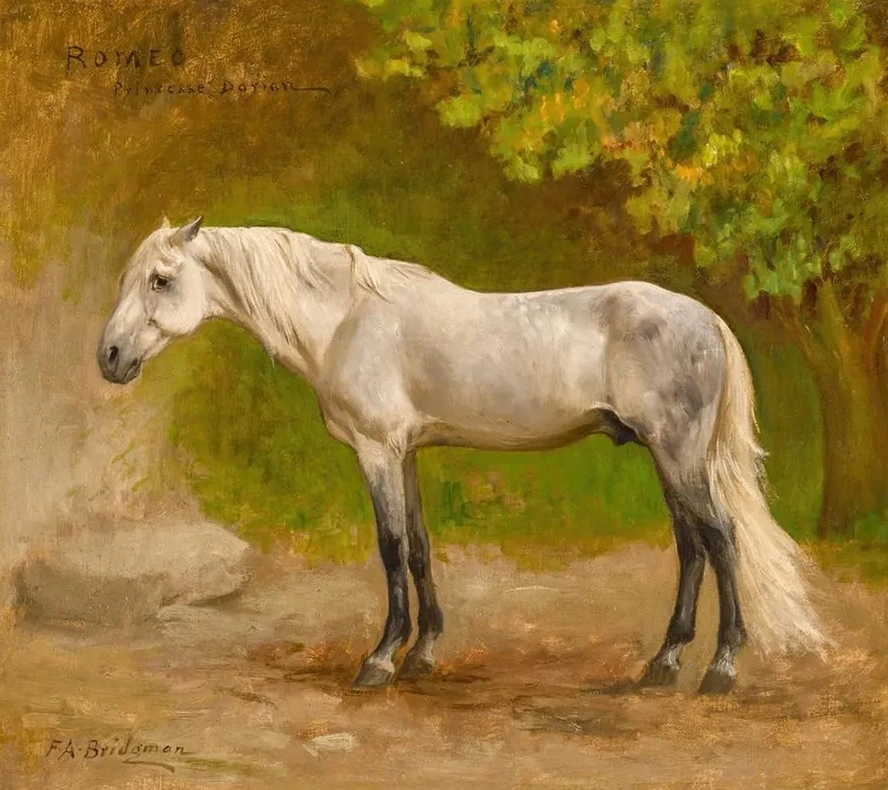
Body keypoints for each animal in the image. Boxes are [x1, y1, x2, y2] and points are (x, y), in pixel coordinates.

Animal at [96, 217, 828, 693]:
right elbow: (420, 546)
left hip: (677, 453)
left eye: (160, 280)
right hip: (668, 457)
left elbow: (390, 546)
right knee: (692, 545)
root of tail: (707, 319)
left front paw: (380, 660)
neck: (343, 319)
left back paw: (720, 670)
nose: (109, 357)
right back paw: (662, 665)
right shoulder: (406, 452)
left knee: (720, 539)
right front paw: (423, 653)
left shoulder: (377, 450)